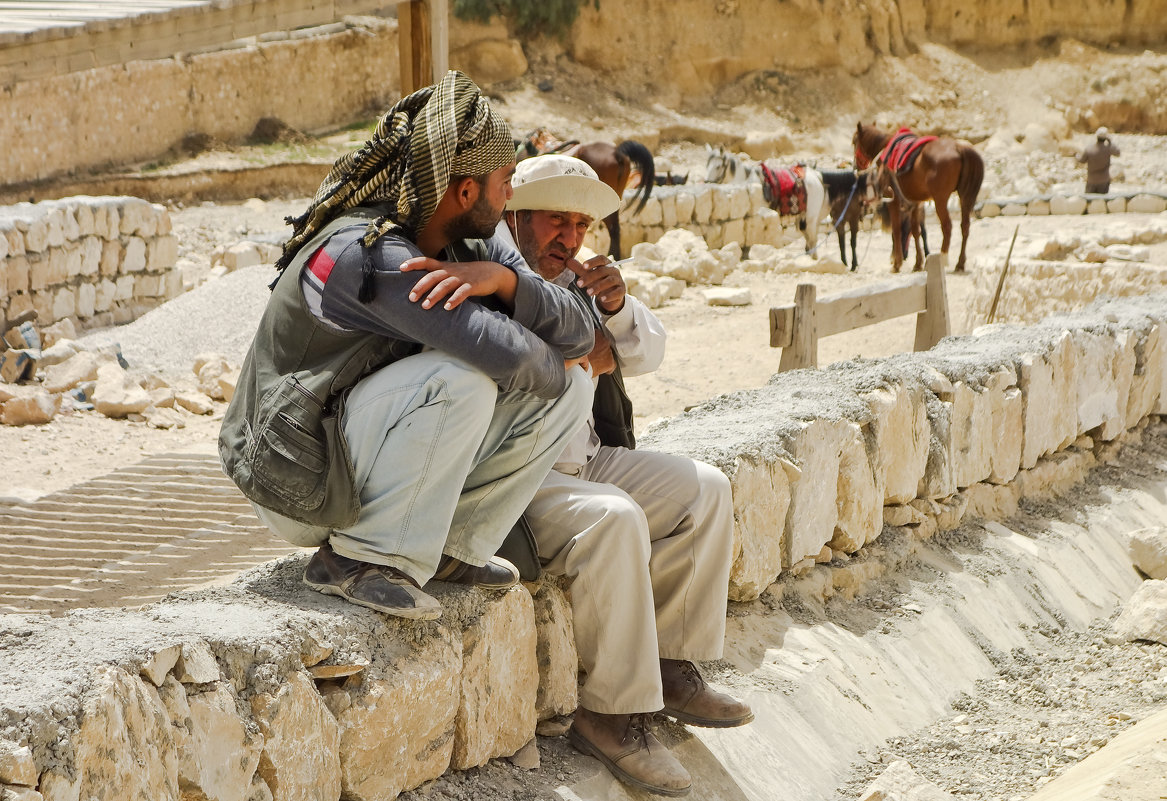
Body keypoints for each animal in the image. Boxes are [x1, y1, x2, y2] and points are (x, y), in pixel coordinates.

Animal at [854, 122, 980, 273]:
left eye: (854, 141)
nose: (856, 167)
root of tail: (958, 147)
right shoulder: (915, 202)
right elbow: (915, 231)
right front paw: (918, 263)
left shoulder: (894, 201)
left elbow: (897, 230)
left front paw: (897, 264)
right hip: (964, 198)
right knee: (965, 226)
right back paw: (960, 264)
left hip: (940, 200)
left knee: (947, 226)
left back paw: (943, 258)